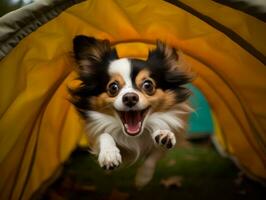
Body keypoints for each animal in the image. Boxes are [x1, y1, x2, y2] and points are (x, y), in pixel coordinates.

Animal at [68, 35, 192, 187]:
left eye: (148, 85)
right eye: (113, 87)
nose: (130, 98)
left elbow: (154, 155)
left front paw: (143, 178)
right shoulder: (96, 135)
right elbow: (104, 135)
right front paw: (109, 154)